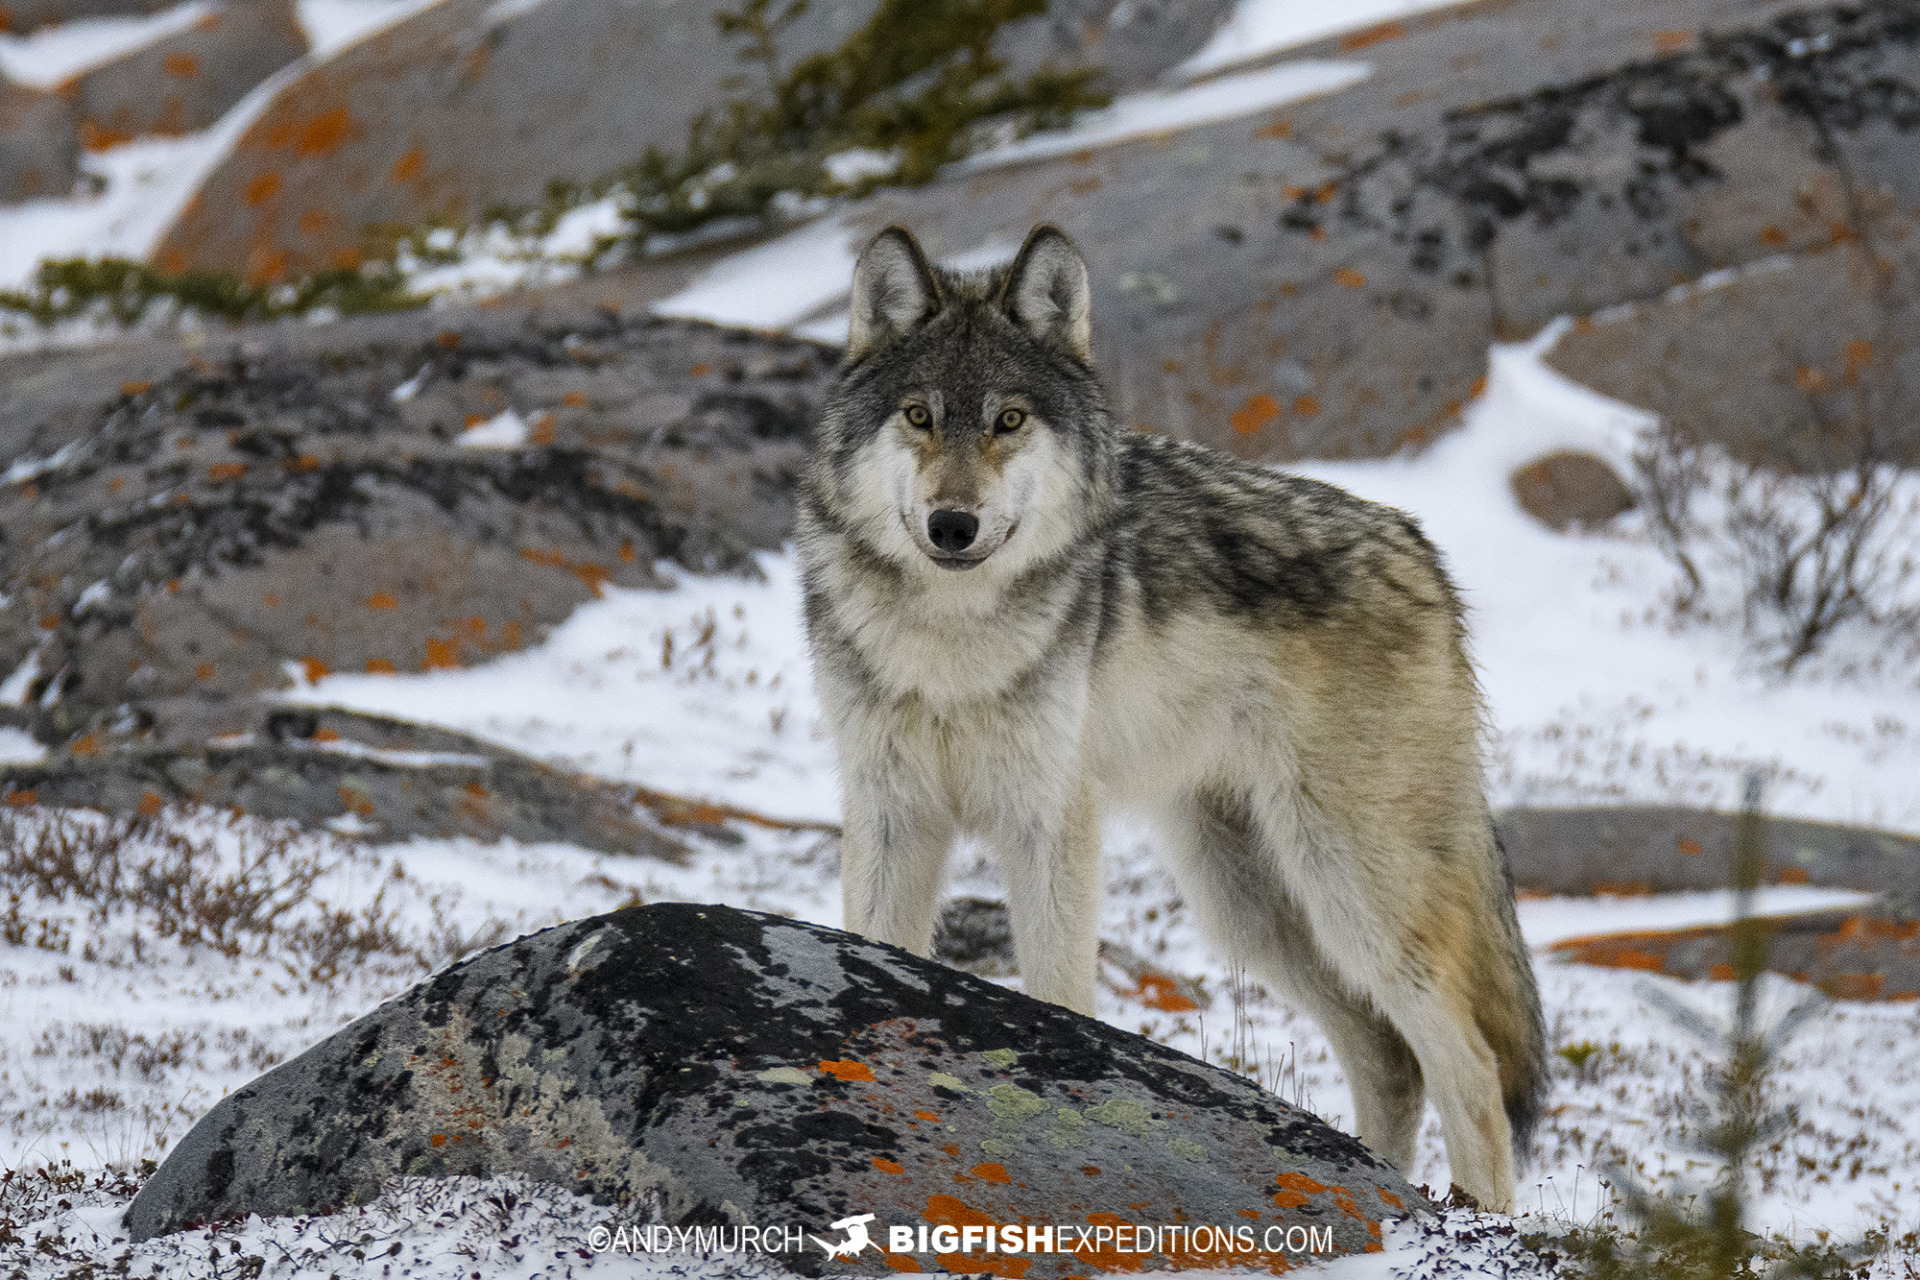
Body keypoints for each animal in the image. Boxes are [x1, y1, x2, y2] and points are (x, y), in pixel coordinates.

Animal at [794, 220, 1543, 1212]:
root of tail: (1426, 558)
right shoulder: (890, 815)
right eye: (918, 416)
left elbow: (1059, 994)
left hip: (1351, 890)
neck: (949, 641)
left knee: (1472, 1066)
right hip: (1248, 903)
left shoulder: (1050, 826)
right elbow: (875, 948)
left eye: (1008, 421)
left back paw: (1482, 1223)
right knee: (1392, 1062)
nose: (954, 526)